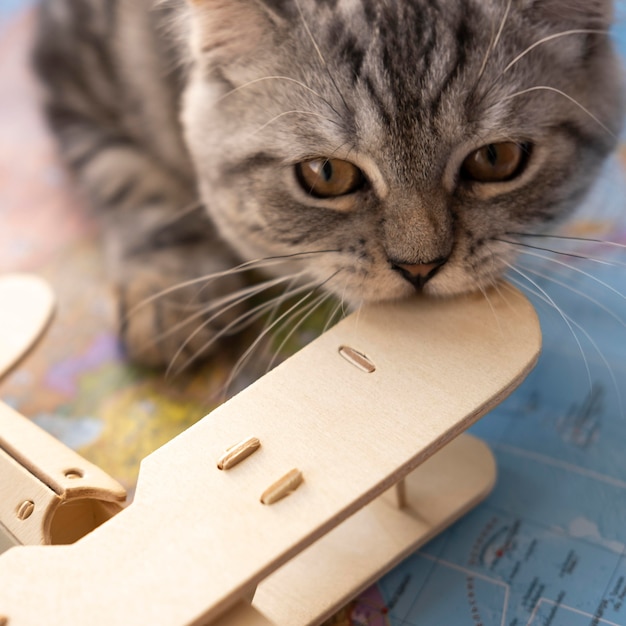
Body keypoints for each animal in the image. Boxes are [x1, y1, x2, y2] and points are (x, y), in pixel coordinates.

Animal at [30, 0, 624, 368]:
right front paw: (169, 291)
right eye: (326, 174)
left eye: (495, 159)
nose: (420, 268)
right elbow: (128, 179)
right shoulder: (69, 69)